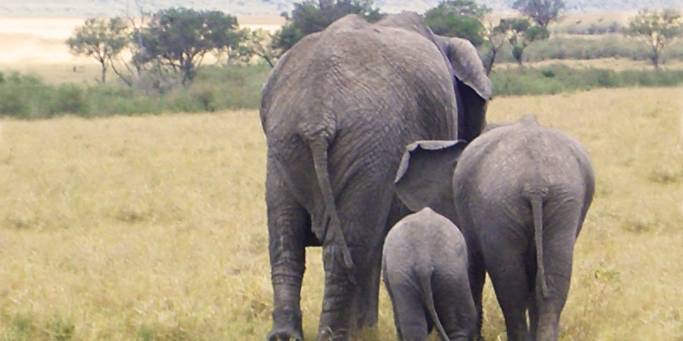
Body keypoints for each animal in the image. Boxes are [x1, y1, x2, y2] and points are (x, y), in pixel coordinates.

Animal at [396, 115, 592, 338]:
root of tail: (536, 184)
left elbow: (473, 265)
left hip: (500, 204)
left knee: (511, 289)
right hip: (562, 201)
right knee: (551, 283)